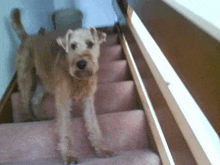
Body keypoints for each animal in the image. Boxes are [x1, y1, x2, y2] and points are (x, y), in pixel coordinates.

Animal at [10, 8, 115, 164]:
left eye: (91, 44)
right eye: (72, 46)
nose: (81, 64)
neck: (79, 79)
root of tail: (27, 37)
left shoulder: (88, 100)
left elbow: (93, 125)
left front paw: (102, 149)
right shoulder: (63, 101)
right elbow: (64, 129)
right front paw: (68, 156)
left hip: (44, 82)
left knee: (35, 99)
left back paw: (41, 116)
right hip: (26, 75)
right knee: (23, 99)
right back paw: (26, 117)